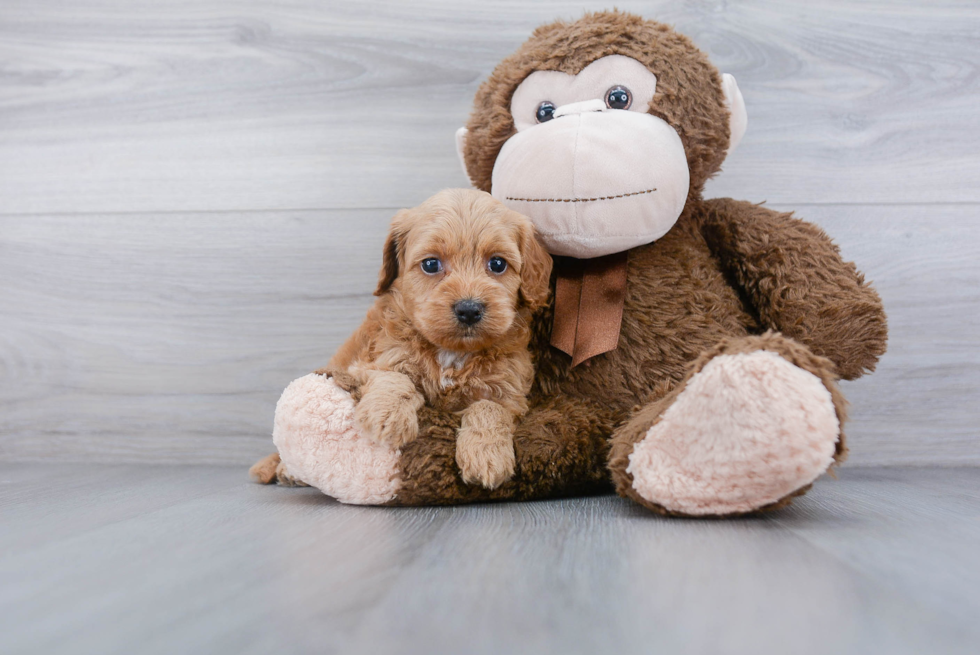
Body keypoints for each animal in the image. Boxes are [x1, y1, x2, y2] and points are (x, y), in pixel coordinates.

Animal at [334, 187, 552, 490]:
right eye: (430, 264)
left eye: (497, 264)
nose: (469, 309)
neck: (452, 353)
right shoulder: (369, 364)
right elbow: (394, 377)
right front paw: (387, 416)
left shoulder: (510, 393)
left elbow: (489, 407)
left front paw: (486, 455)